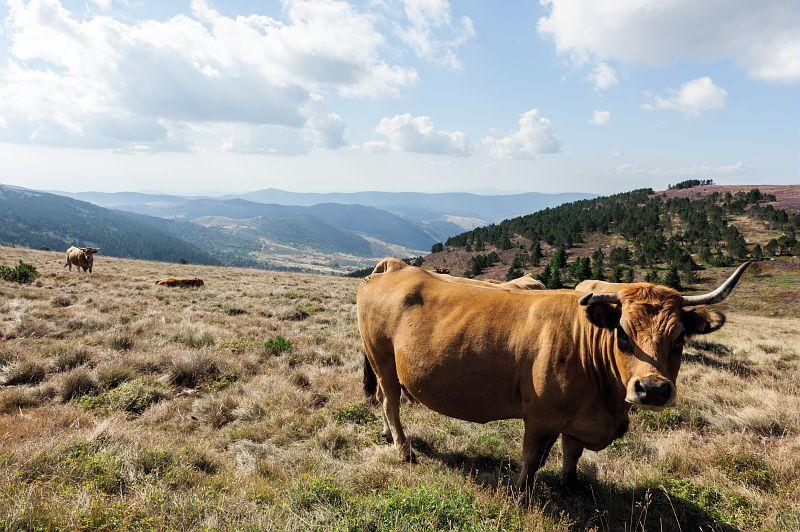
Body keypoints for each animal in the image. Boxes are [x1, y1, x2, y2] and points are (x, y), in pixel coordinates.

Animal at [357, 259, 750, 487]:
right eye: (622, 334)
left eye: (680, 336)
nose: (652, 389)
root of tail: (393, 268)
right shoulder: (539, 417)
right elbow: (531, 459)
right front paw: (523, 493)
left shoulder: (578, 421)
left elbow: (572, 455)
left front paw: (570, 487)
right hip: (382, 360)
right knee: (390, 402)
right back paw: (403, 448)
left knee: (384, 402)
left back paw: (388, 435)